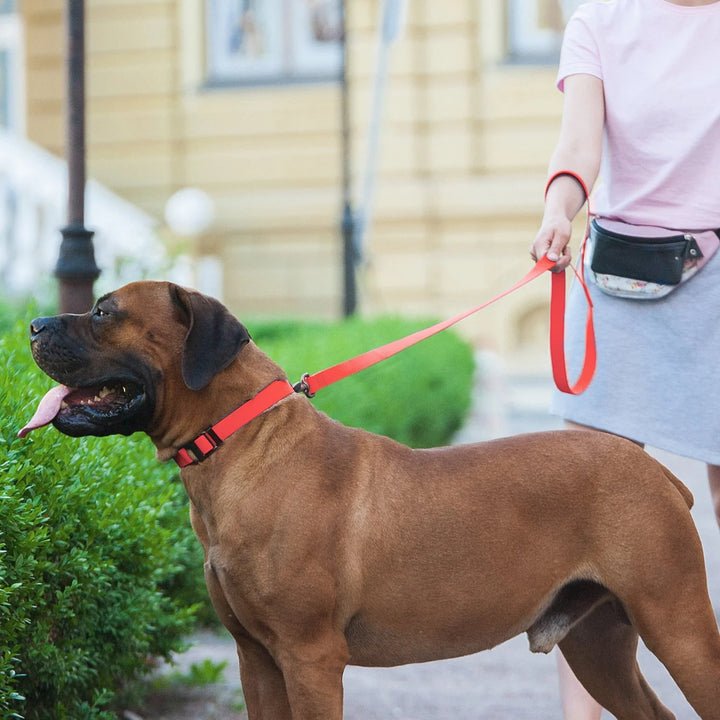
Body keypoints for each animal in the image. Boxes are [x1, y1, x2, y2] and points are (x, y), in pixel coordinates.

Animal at [19, 282, 720, 720]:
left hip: (678, 624)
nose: (30, 324)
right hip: (598, 643)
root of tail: (658, 471)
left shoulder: (311, 659)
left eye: (104, 312)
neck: (240, 440)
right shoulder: (257, 660)